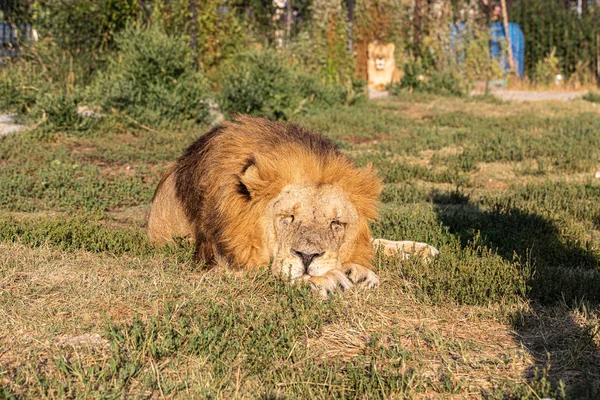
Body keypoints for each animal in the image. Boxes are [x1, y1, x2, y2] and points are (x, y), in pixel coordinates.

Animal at [145, 117, 436, 296]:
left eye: (336, 223)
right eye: (288, 217)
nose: (307, 257)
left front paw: (366, 269)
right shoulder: (219, 263)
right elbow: (276, 272)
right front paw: (330, 278)